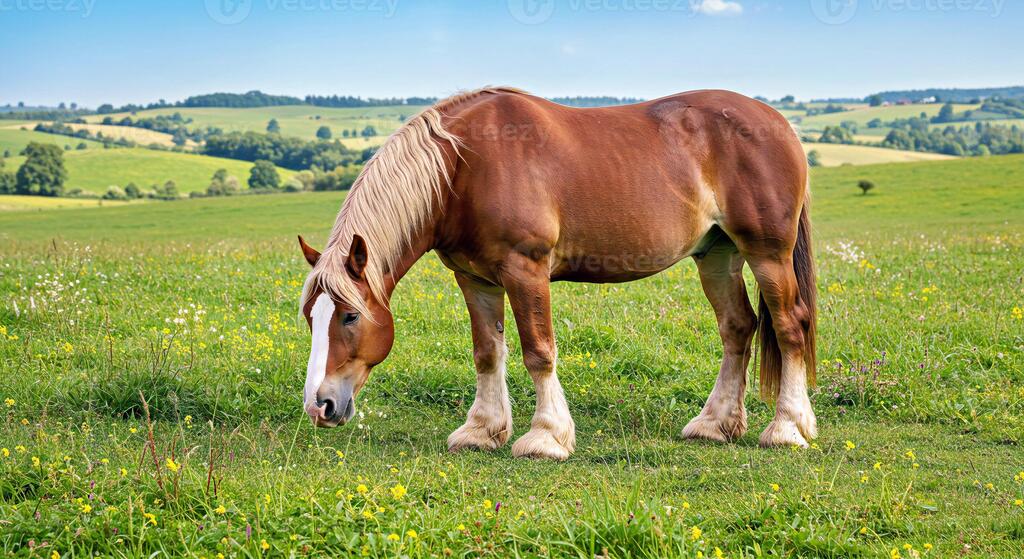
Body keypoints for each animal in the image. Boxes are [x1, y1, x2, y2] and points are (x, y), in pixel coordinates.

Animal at [297, 86, 817, 460]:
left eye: (350, 316)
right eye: (310, 318)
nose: (319, 405)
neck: (463, 167)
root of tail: (778, 122)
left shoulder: (525, 270)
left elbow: (538, 352)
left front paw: (546, 437)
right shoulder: (474, 279)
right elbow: (487, 353)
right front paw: (482, 430)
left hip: (767, 254)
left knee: (789, 326)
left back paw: (788, 428)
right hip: (717, 256)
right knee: (738, 328)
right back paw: (714, 425)